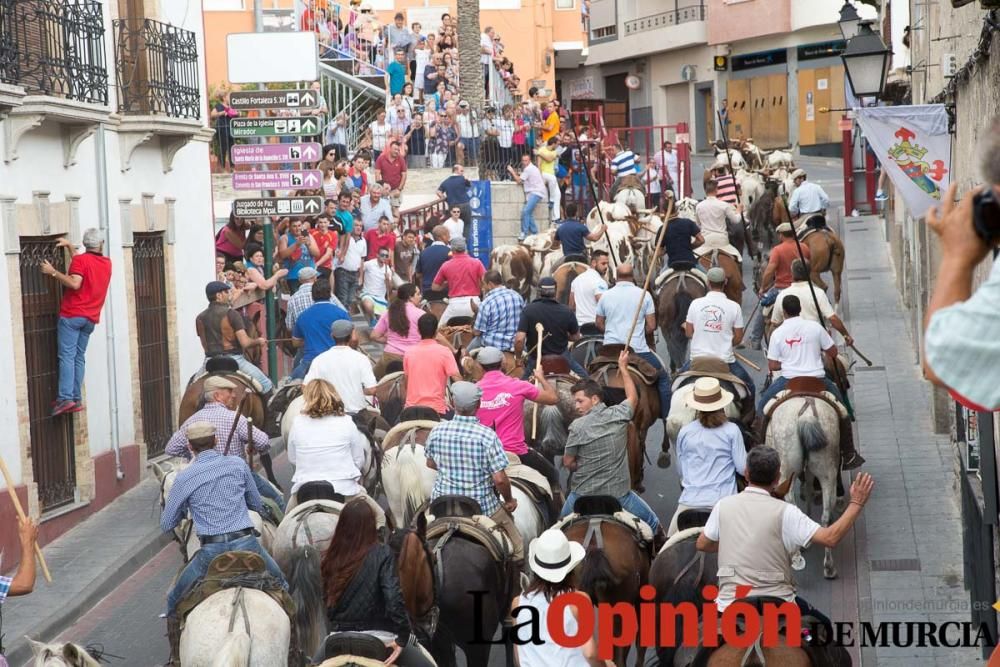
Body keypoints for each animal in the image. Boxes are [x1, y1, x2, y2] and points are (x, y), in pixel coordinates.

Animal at [764, 396, 844, 580]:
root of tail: (806, 415)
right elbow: (808, 485)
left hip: (786, 471)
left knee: (790, 503)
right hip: (828, 471)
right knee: (826, 513)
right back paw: (829, 567)